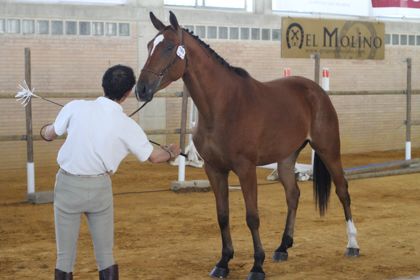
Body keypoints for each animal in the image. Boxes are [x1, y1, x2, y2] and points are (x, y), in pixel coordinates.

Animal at [136, 11, 360, 280]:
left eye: (169, 47)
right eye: (149, 45)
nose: (141, 89)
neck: (223, 106)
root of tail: (316, 91)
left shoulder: (246, 168)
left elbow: (252, 217)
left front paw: (257, 266)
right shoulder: (214, 169)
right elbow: (222, 216)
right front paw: (223, 262)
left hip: (328, 149)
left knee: (343, 191)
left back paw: (352, 244)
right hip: (286, 158)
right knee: (293, 195)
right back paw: (283, 247)